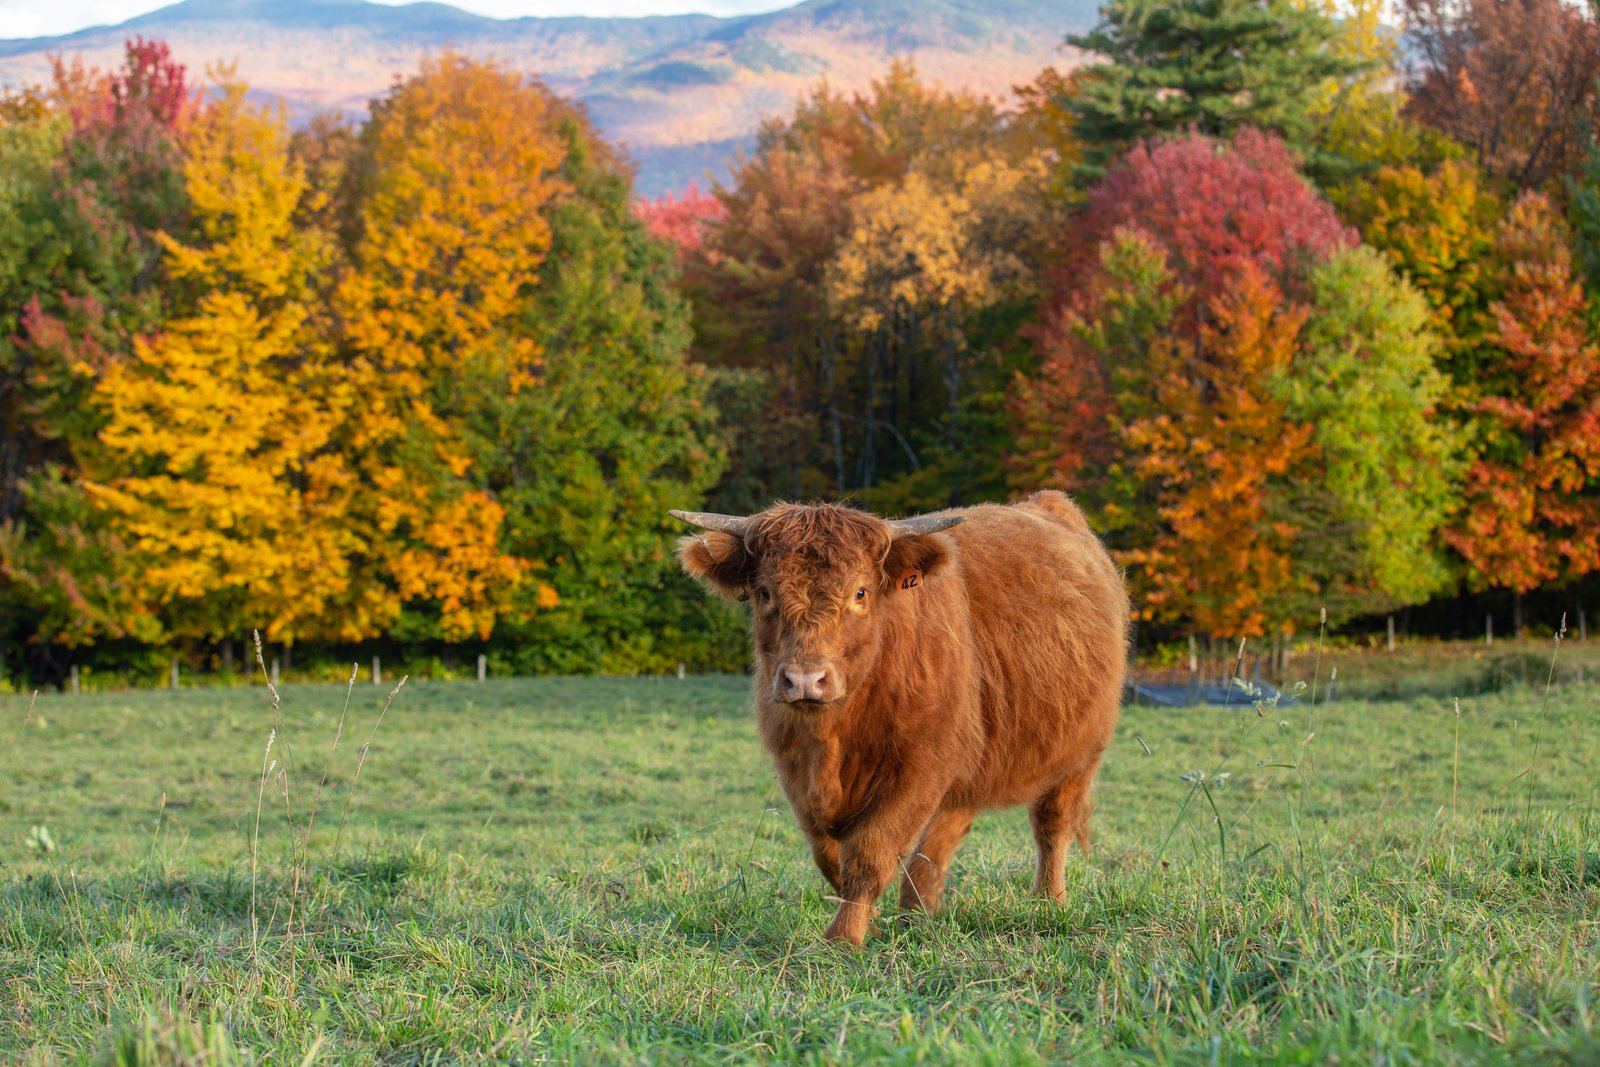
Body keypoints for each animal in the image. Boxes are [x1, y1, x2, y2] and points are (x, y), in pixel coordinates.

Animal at [670, 490, 1128, 946]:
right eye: (764, 592)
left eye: (860, 592)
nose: (805, 679)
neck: (835, 738)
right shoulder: (794, 768)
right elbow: (828, 854)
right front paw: (868, 918)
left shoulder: (919, 769)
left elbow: (869, 853)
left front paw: (844, 937)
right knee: (943, 836)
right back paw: (917, 913)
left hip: (1081, 754)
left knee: (1052, 825)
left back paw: (1049, 902)